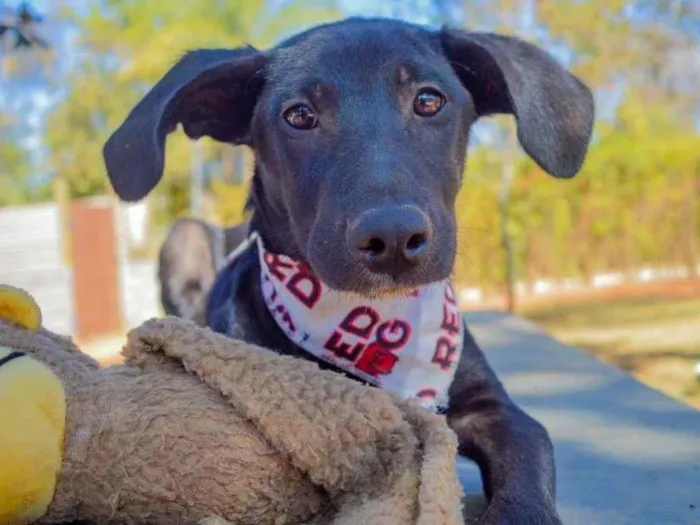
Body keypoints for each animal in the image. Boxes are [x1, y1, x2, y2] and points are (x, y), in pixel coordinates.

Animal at [105, 17, 596, 524]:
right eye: (299, 115)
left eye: (428, 100)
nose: (393, 237)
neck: (374, 327)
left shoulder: (493, 409)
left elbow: (529, 453)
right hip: (186, 236)